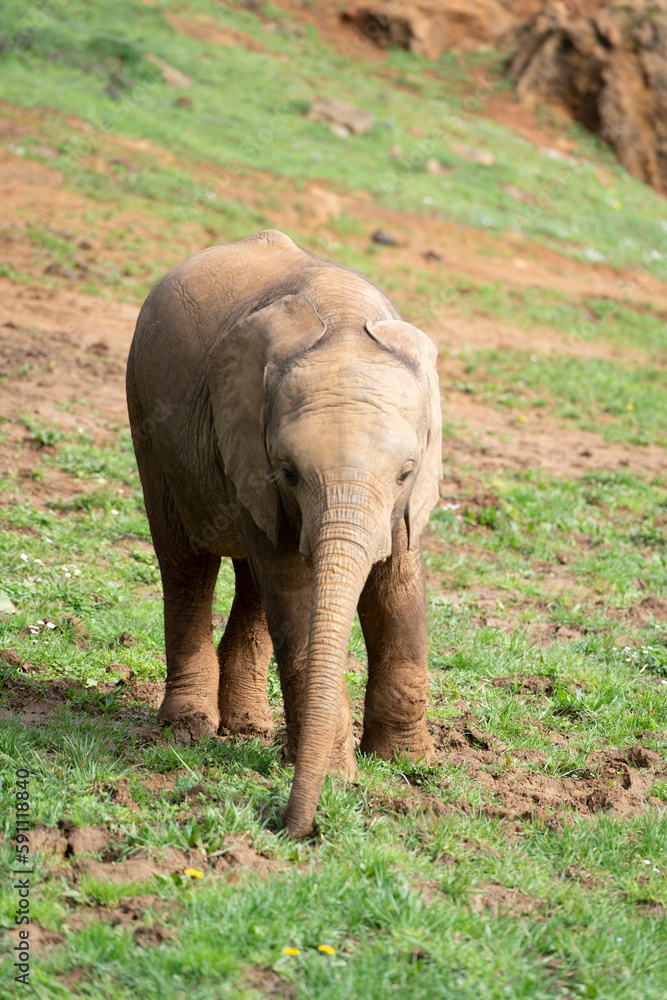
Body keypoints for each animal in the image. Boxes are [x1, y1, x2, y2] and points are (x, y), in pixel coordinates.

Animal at [129, 229, 444, 836]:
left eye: (406, 472)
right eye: (288, 472)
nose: (290, 824)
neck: (343, 316)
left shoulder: (407, 504)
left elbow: (398, 587)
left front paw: (411, 767)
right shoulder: (248, 451)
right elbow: (295, 598)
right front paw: (342, 777)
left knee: (252, 584)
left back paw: (249, 731)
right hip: (147, 422)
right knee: (187, 565)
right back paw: (188, 730)